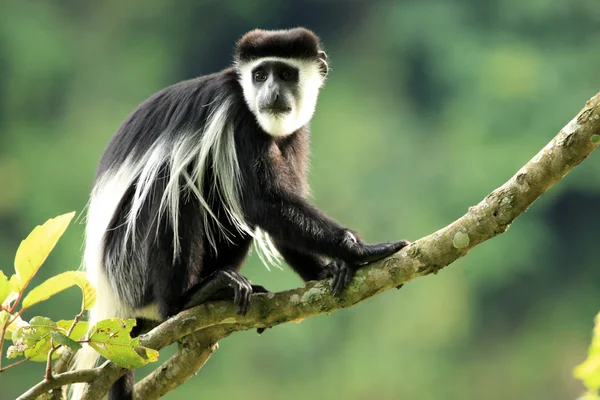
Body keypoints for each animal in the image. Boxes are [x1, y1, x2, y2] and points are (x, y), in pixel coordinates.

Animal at [70, 28, 408, 400]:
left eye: (285, 74)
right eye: (260, 75)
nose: (271, 93)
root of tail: (111, 300)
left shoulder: (295, 132)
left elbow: (280, 208)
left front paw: (326, 269)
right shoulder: (239, 117)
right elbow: (262, 201)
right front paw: (360, 249)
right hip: (130, 266)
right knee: (174, 186)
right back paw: (189, 298)